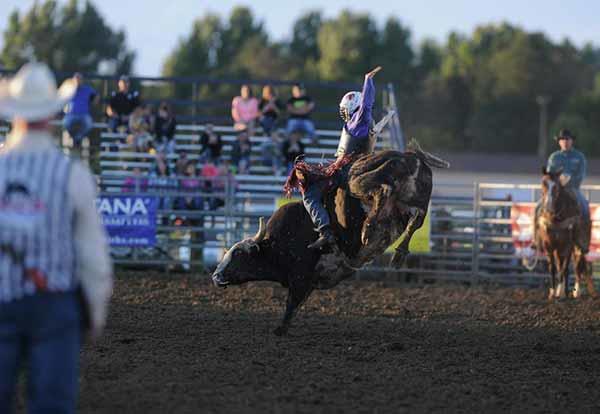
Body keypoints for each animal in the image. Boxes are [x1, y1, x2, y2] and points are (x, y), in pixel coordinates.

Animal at [213, 141, 448, 334]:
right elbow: (295, 305)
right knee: (416, 217)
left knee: (383, 190)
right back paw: (397, 252)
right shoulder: (308, 283)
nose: (215, 276)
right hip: (415, 198)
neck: (277, 242)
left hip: (364, 181)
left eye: (238, 254)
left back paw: (369, 229)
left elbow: (291, 303)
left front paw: (280, 329)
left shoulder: (300, 277)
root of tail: (409, 155)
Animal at [536, 170, 592, 300]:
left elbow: (564, 268)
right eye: (543, 183)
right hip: (559, 249)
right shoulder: (549, 246)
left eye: (556, 187)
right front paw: (552, 292)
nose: (548, 207)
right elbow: (553, 268)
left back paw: (576, 292)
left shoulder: (568, 245)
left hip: (579, 246)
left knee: (577, 266)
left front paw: (562, 293)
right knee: (561, 265)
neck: (556, 219)